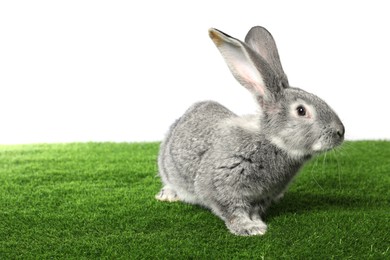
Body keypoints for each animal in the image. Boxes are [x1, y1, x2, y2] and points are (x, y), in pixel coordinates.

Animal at [155, 26, 344, 236]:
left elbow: (254, 210)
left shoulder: (262, 196)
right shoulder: (222, 185)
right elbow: (232, 210)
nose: (340, 132)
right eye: (301, 111)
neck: (271, 141)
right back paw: (167, 195)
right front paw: (250, 228)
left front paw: (257, 222)